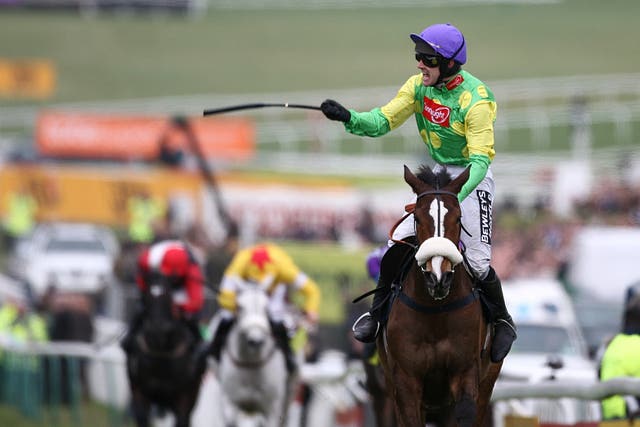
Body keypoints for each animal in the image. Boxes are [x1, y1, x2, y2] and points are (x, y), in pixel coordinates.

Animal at [125, 274, 205, 427]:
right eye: (146, 297)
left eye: (169, 296)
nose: (157, 331)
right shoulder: (139, 392)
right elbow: (142, 417)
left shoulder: (183, 398)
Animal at [376, 166, 504, 426]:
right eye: (417, 218)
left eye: (458, 218)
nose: (438, 277)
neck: (435, 312)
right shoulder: (405, 380)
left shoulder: (465, 371)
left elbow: (466, 411)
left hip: (486, 381)